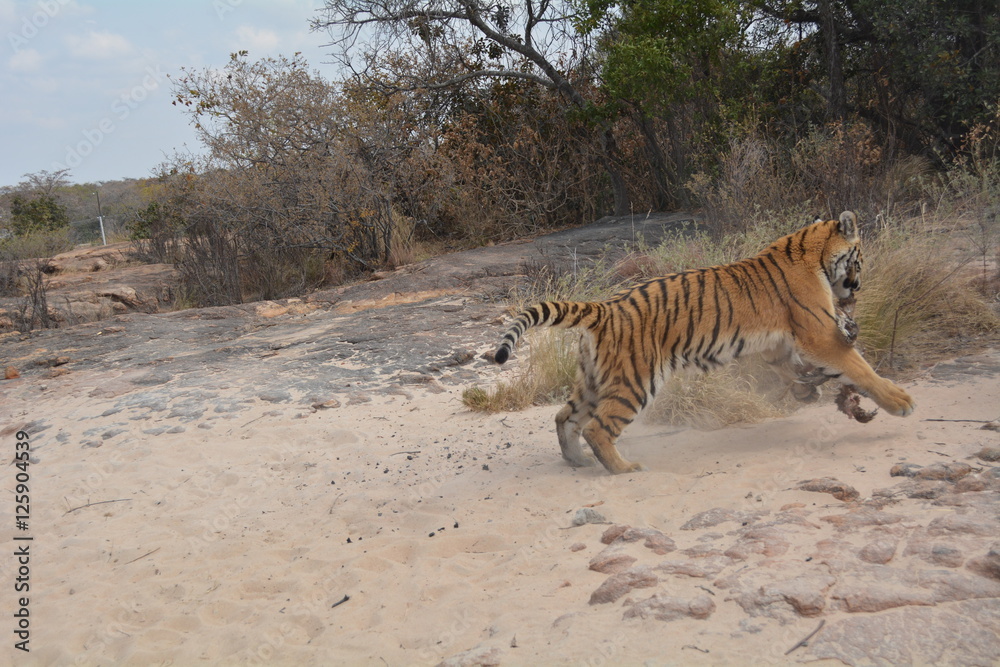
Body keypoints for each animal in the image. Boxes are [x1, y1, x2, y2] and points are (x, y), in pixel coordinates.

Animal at [491, 211, 915, 475]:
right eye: (860, 257)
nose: (858, 287)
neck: (813, 251)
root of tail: (606, 307)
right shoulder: (821, 333)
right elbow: (859, 367)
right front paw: (901, 402)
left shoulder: (778, 344)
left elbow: (796, 369)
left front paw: (806, 390)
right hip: (634, 381)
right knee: (598, 427)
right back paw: (624, 469)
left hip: (594, 380)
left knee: (565, 417)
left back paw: (577, 461)